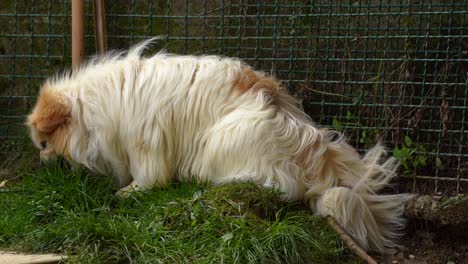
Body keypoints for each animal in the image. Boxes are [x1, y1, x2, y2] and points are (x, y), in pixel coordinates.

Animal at [27, 39, 412, 254]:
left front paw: (125, 193)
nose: (41, 161)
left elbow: (148, 179)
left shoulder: (147, 142)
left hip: (223, 137)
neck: (95, 106)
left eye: (45, 143)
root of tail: (318, 160)